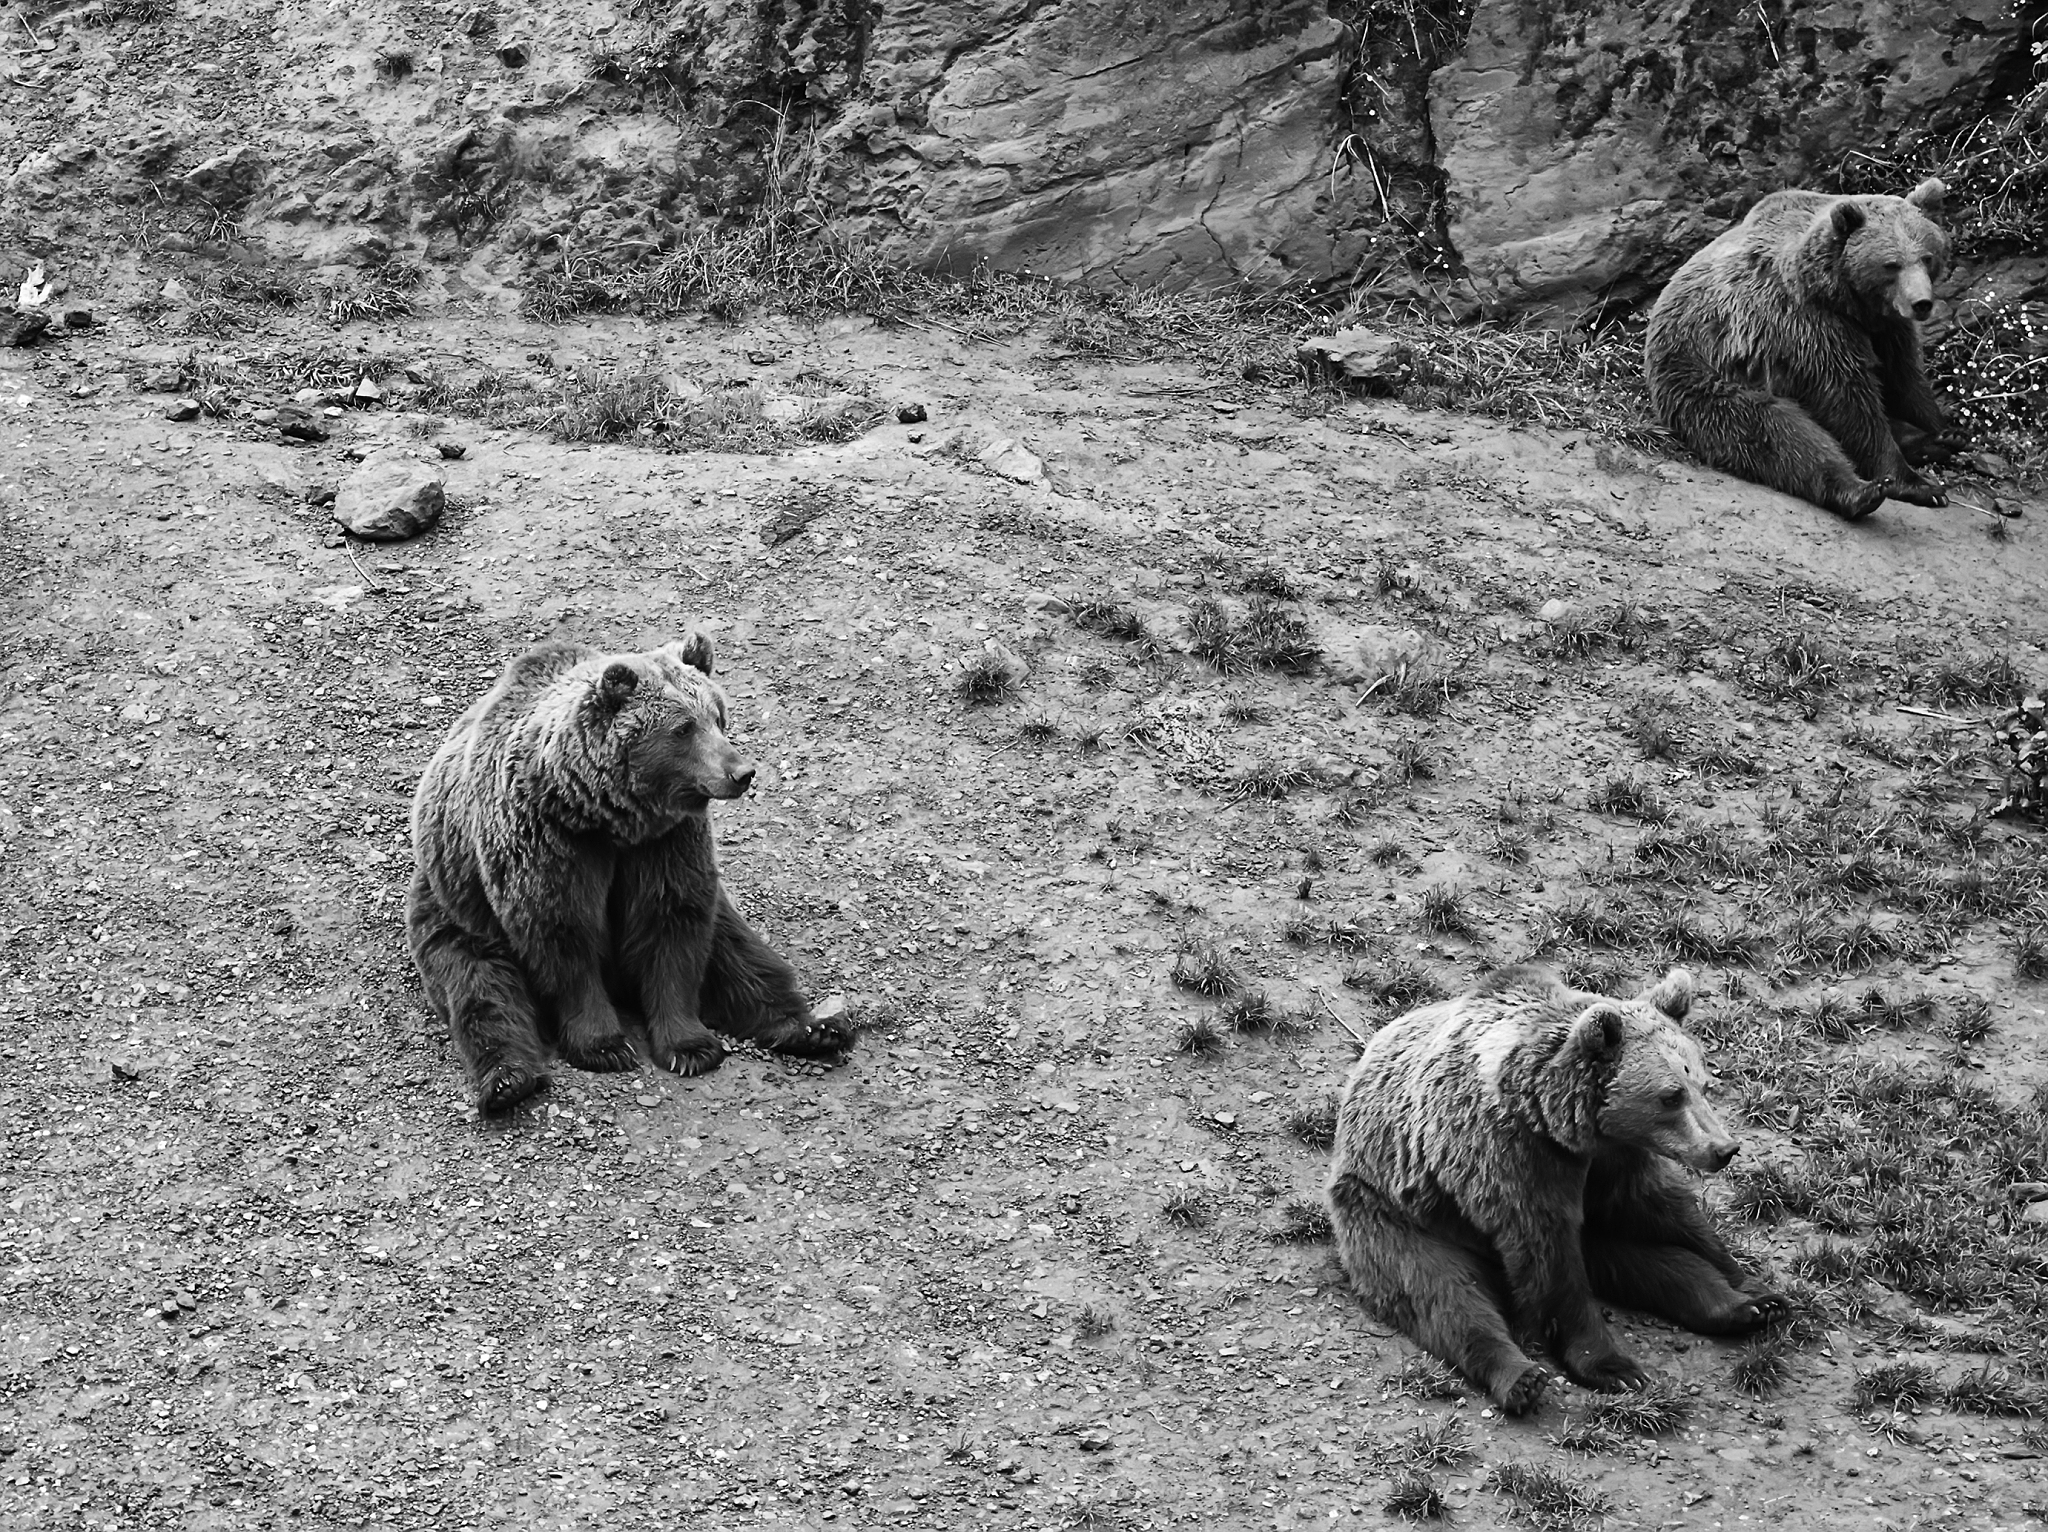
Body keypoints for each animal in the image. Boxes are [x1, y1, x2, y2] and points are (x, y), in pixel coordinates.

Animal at [407, 632, 854, 1113]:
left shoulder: (665, 844)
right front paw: (604, 1046)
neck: (607, 816)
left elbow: (671, 926)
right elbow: (562, 935)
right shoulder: (549, 842)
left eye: (718, 717)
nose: (742, 772)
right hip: (456, 910)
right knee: (481, 988)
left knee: (744, 957)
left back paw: (813, 1028)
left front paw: (690, 1047)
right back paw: (509, 1080)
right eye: (683, 728)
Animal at [1324, 965, 1786, 1415]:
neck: (1561, 1122)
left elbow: (1663, 1211)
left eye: (1702, 1084)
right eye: (1671, 1096)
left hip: (1595, 1240)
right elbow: (1548, 1258)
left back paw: (1740, 1308)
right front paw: (1613, 1367)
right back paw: (1520, 1377)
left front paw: (1755, 1288)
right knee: (1443, 1293)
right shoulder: (1513, 1159)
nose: (1724, 1149)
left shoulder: (1615, 1159)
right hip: (1392, 1211)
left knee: (1663, 1264)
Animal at [1644, 177, 1962, 520]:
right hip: (1701, 373)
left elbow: (1905, 377)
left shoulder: (1888, 328)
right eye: (1892, 264)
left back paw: (1933, 441)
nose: (1921, 303)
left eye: (1927, 256)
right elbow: (1847, 399)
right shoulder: (1807, 326)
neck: (1847, 299)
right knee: (1776, 430)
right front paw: (1916, 483)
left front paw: (1940, 429)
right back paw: (1860, 491)